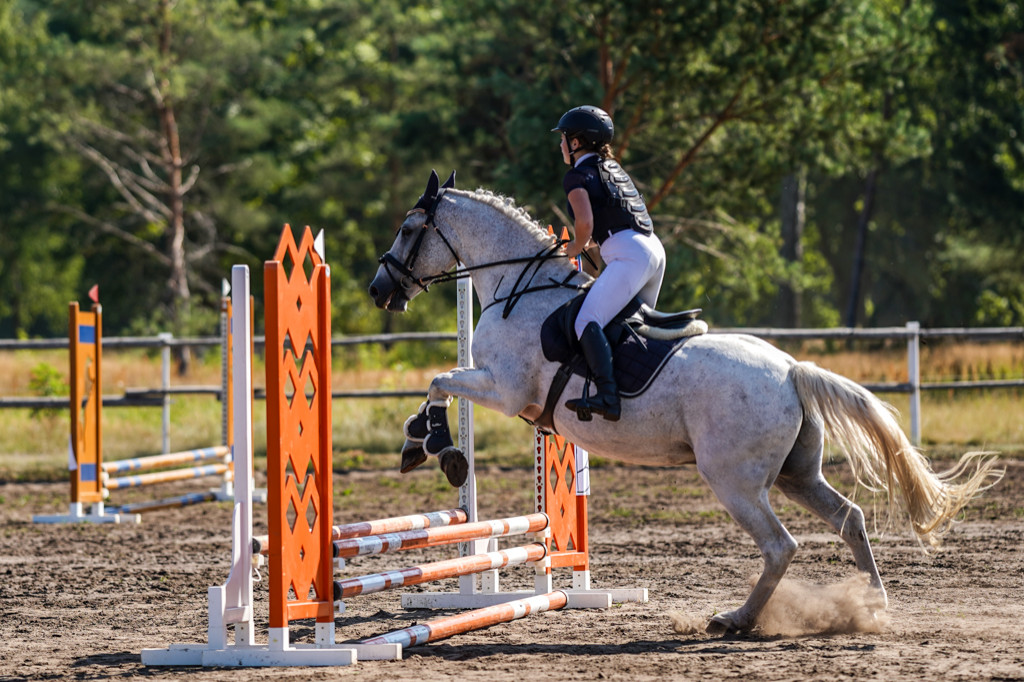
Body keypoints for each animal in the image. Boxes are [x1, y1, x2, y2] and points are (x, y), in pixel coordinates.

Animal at [368, 169, 999, 630]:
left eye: (407, 228)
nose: (379, 291)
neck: (516, 286)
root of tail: (791, 370)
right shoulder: (503, 390)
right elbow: (439, 382)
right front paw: (421, 444)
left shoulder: (502, 387)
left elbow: (440, 381)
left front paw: (437, 448)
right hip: (796, 473)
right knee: (849, 517)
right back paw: (872, 605)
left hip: (733, 478)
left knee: (780, 545)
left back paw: (737, 620)